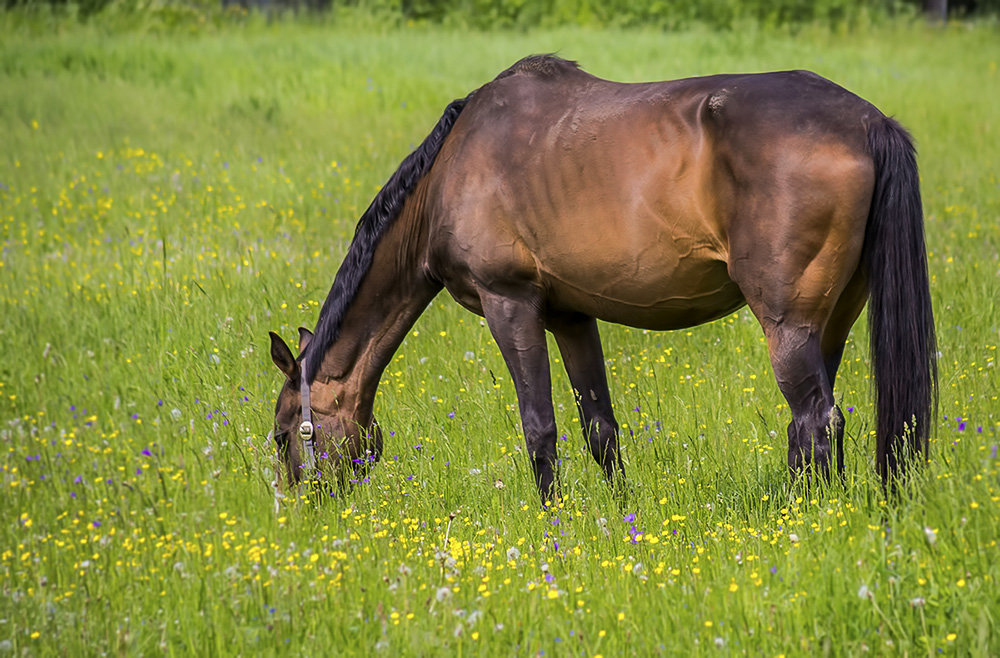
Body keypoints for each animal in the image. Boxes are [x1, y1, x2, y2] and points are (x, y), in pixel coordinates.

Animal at [268, 53, 936, 500]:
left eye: (283, 435)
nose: (300, 509)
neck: (452, 171)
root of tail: (869, 121)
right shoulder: (570, 315)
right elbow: (601, 430)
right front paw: (622, 518)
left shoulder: (510, 304)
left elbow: (539, 429)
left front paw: (554, 526)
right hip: (832, 322)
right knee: (813, 426)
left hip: (788, 326)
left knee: (816, 422)